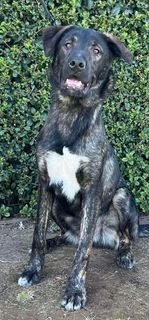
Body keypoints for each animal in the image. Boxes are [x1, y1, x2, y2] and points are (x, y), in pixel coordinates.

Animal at [18, 26, 139, 312]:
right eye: (67, 45)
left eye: (96, 51)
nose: (76, 63)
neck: (71, 115)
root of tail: (102, 237)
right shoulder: (45, 184)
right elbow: (37, 235)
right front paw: (33, 270)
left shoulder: (92, 190)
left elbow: (83, 251)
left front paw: (75, 291)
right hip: (57, 205)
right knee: (68, 235)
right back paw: (54, 241)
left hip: (122, 196)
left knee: (123, 237)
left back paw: (125, 254)